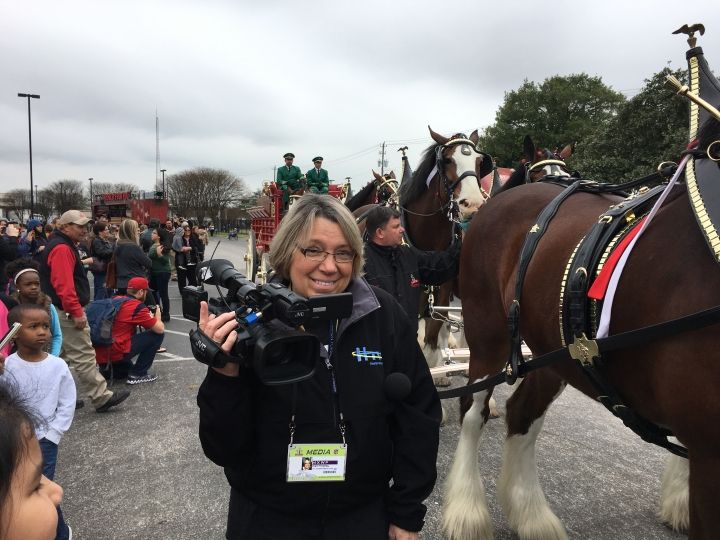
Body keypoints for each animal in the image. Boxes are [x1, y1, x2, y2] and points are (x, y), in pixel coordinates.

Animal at [442, 120, 720, 536]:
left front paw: (677, 499)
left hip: (552, 352)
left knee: (522, 413)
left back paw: (531, 516)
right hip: (487, 332)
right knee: (473, 411)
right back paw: (467, 511)